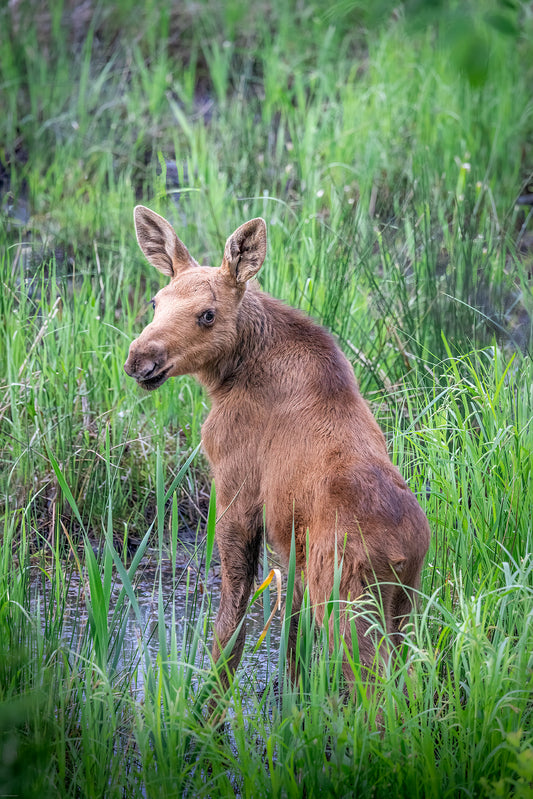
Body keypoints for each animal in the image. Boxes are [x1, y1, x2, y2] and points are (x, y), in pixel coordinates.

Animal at [123, 209, 428, 692]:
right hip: (403, 609)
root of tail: (403, 550)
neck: (229, 374)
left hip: (347, 604)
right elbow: (291, 646)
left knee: (377, 692)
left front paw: (209, 706)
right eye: (156, 302)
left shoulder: (237, 492)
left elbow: (231, 624)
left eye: (207, 314)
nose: (140, 359)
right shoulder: (289, 548)